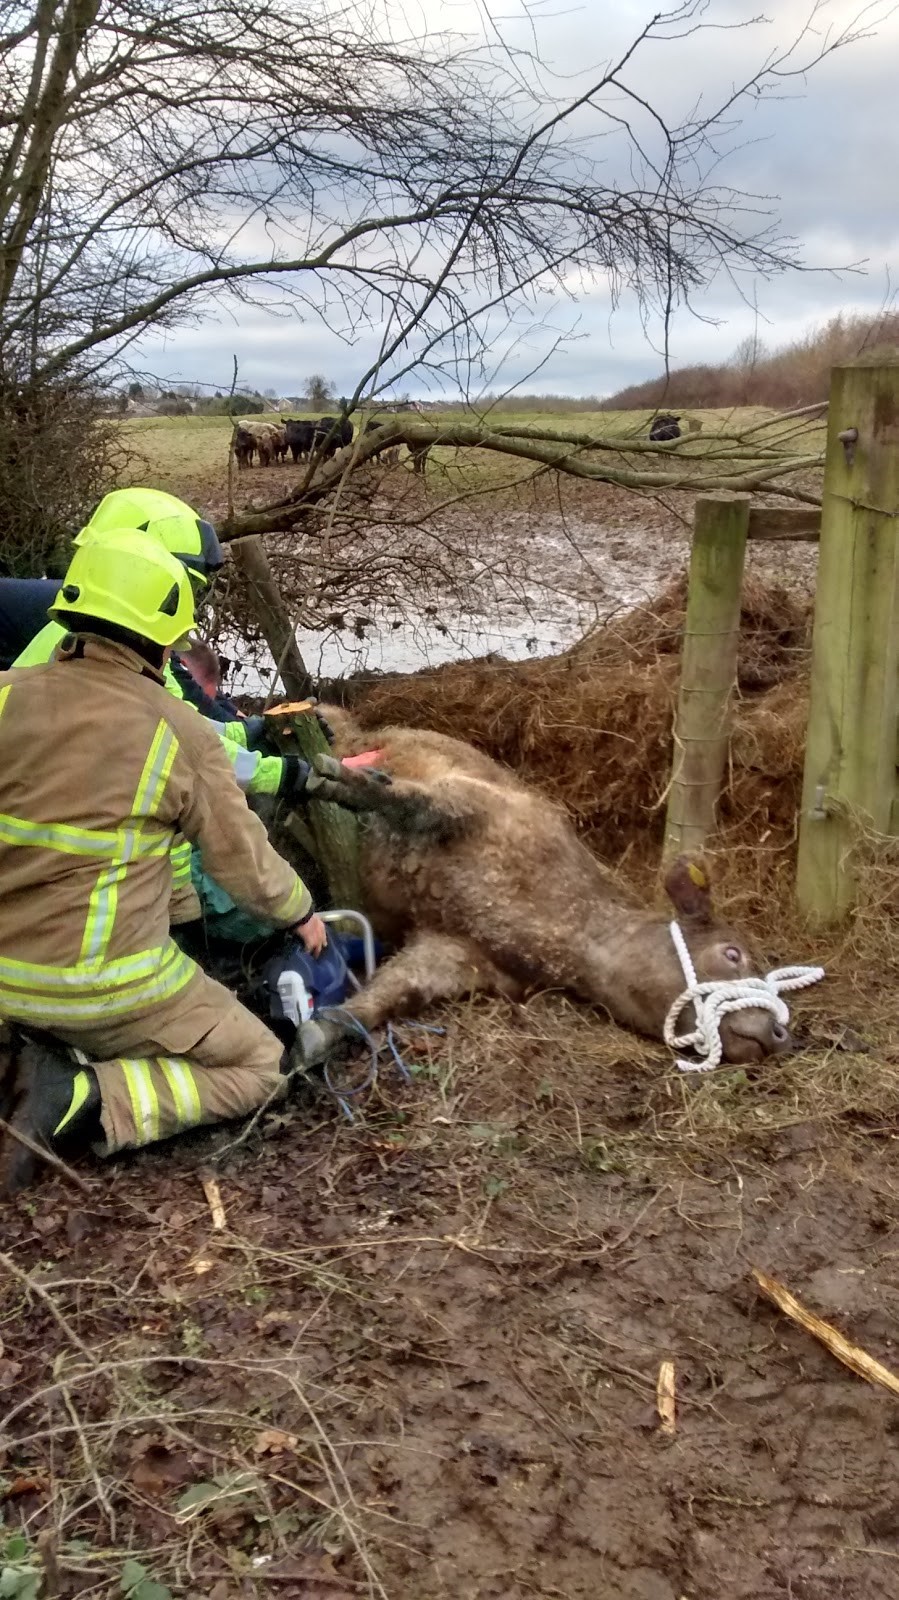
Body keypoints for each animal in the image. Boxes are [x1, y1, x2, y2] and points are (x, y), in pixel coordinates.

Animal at [297, 713, 787, 1062]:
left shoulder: (457, 953)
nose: (782, 1032)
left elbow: (390, 994)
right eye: (733, 953)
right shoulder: (470, 803)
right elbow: (404, 799)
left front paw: (316, 1035)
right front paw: (333, 779)